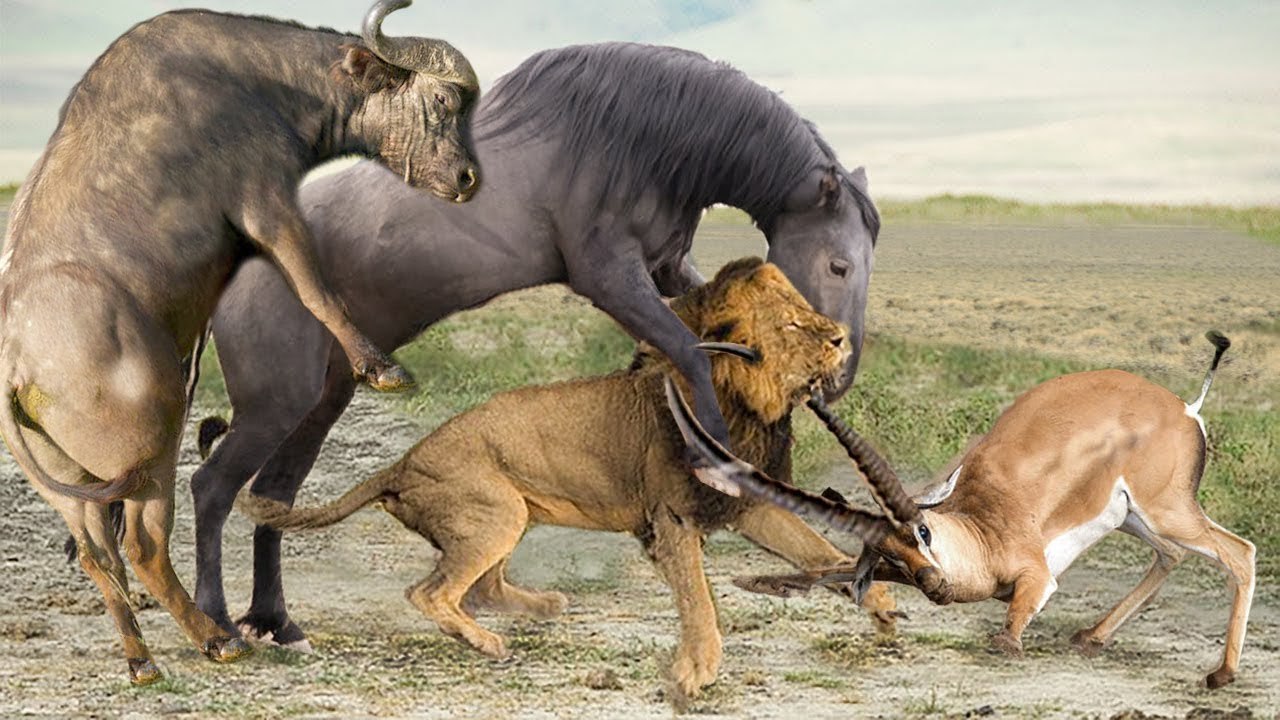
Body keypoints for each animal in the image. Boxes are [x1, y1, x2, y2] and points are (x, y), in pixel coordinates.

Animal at [237, 257, 897, 697]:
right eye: (792, 325)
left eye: (808, 312)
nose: (841, 338)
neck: (747, 406)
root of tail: (399, 463)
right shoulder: (672, 518)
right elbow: (698, 598)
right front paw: (695, 671)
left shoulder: (750, 505)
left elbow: (816, 549)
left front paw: (879, 599)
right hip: (496, 512)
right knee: (432, 592)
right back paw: (487, 642)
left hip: (512, 513)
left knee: (482, 588)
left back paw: (543, 605)